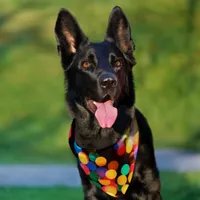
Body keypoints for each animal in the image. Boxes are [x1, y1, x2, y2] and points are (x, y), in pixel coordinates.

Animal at [54, 5, 162, 199]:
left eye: (118, 63)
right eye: (86, 65)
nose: (109, 82)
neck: (103, 136)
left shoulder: (150, 187)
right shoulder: (90, 191)